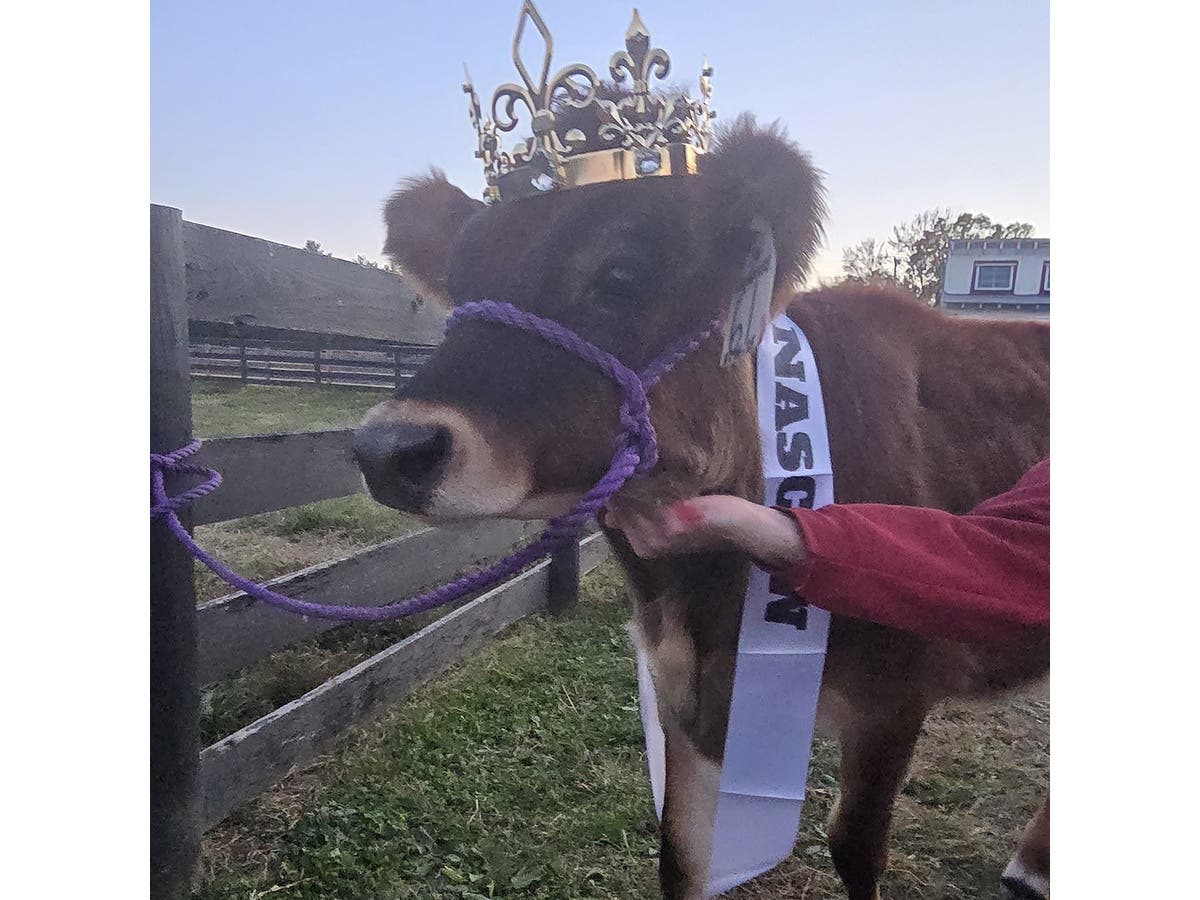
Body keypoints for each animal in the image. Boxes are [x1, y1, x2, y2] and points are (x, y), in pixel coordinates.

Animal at [352, 115, 1051, 900]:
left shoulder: (896, 694)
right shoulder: (679, 691)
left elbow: (856, 847)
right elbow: (681, 856)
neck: (699, 598)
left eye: (621, 275)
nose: (387, 449)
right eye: (461, 286)